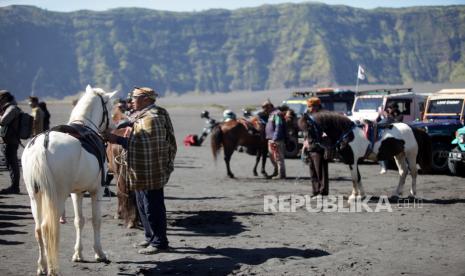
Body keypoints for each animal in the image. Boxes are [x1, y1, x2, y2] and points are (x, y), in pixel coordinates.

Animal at [21, 85, 118, 274]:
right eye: (110, 107)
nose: (113, 127)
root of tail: (42, 144)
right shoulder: (96, 191)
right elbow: (96, 220)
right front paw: (99, 253)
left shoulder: (76, 193)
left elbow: (79, 221)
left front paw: (78, 254)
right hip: (56, 196)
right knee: (49, 228)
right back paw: (52, 268)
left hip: (35, 197)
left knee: (38, 229)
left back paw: (42, 266)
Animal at [298, 111, 432, 203]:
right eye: (303, 129)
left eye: (310, 127)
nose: (308, 147)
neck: (347, 134)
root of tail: (415, 129)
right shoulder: (354, 161)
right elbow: (358, 177)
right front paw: (361, 195)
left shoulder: (352, 160)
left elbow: (354, 178)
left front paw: (353, 196)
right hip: (399, 155)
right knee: (403, 172)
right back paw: (396, 194)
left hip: (411, 155)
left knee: (413, 173)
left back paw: (412, 194)